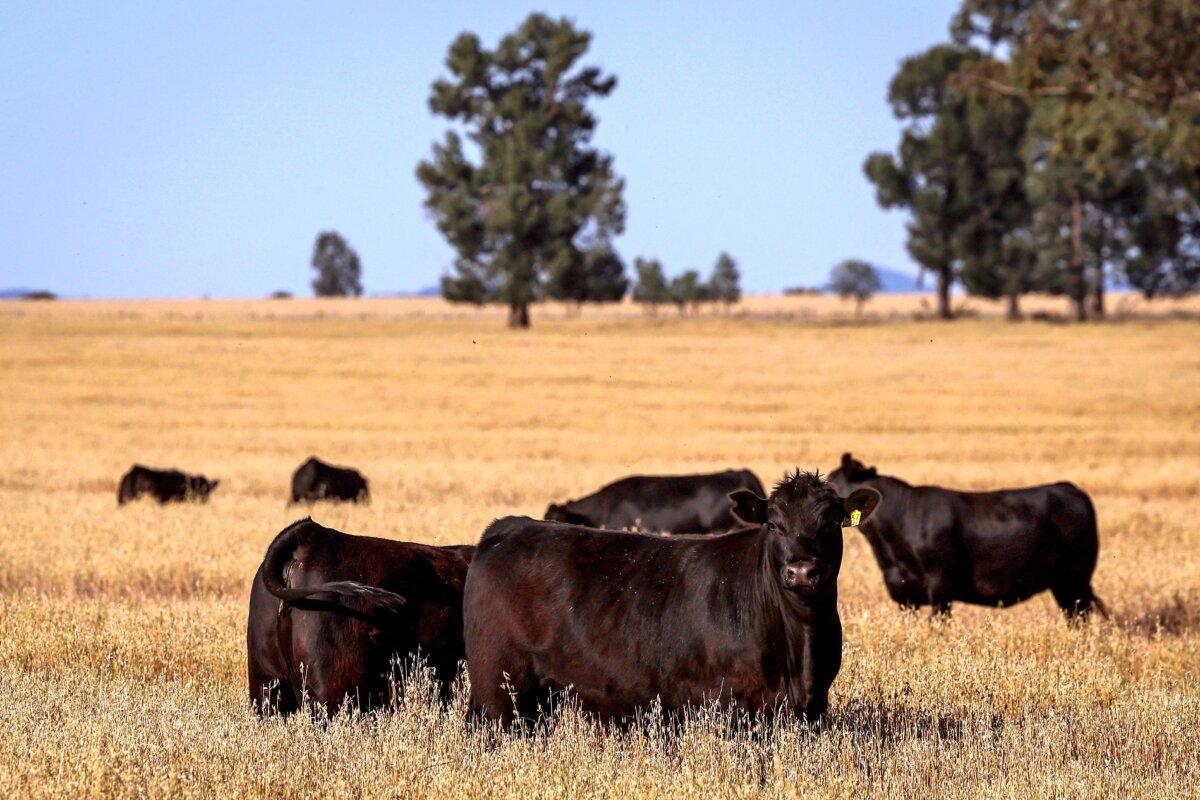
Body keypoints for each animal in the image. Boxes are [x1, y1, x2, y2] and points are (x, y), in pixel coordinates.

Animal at [827, 453, 1106, 621]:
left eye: (830, 481)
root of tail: (1069, 488)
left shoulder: (940, 588)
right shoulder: (905, 595)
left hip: (1075, 580)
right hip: (1064, 585)